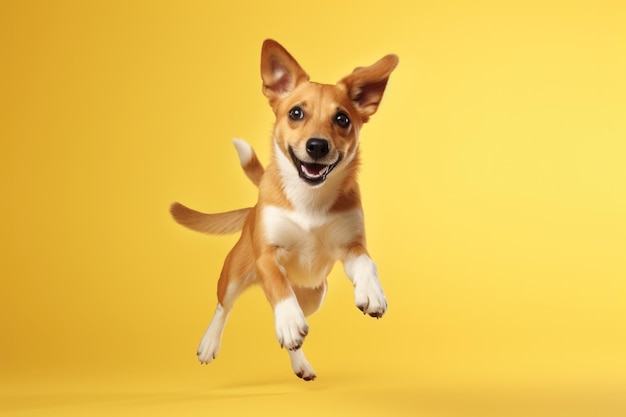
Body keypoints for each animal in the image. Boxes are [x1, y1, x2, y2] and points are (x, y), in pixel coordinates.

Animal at [168, 39, 398, 380]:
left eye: (342, 119)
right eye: (296, 113)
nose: (317, 146)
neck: (309, 198)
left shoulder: (351, 246)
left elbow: (368, 264)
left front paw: (371, 292)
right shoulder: (267, 257)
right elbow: (278, 287)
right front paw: (288, 320)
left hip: (315, 295)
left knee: (292, 328)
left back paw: (300, 362)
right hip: (234, 274)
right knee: (225, 305)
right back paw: (211, 342)